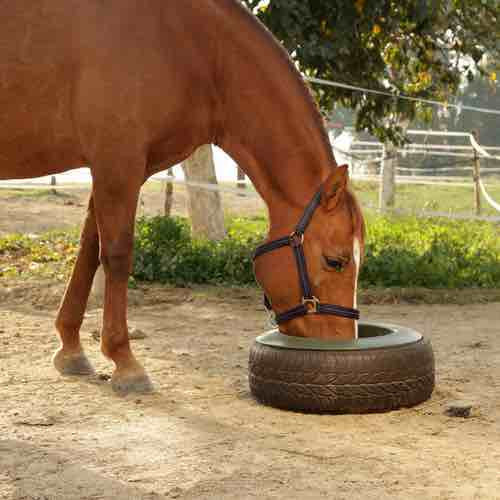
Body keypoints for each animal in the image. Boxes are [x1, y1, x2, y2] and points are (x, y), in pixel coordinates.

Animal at [0, 0, 364, 392]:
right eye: (336, 261)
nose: (342, 345)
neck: (190, 46)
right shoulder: (118, 164)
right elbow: (117, 255)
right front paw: (125, 362)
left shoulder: (110, 169)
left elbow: (88, 252)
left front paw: (70, 349)